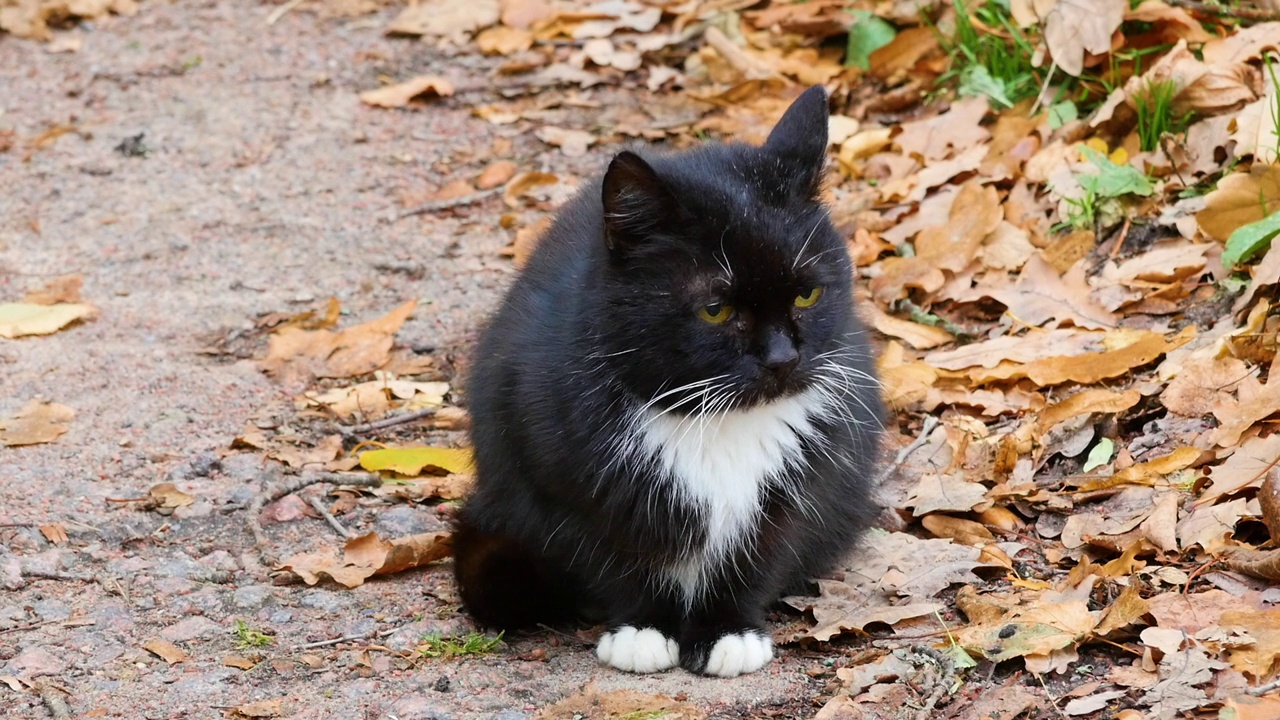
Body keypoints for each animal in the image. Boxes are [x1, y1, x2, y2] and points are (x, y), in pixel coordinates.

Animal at [450, 87, 880, 676]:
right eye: (715, 309)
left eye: (807, 294)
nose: (783, 358)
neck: (715, 420)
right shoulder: (565, 481)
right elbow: (612, 551)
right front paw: (642, 628)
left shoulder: (801, 483)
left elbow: (762, 548)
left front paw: (728, 631)